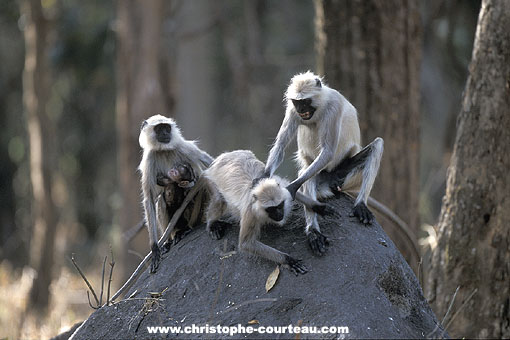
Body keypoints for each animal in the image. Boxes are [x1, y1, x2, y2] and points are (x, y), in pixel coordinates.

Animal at [138, 115, 212, 272]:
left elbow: (211, 163)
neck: (163, 150)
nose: (166, 133)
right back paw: (169, 240)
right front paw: (155, 248)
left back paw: (187, 229)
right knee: (160, 200)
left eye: (167, 127)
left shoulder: (185, 147)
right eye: (159, 128)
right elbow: (149, 199)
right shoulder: (149, 159)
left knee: (200, 190)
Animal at [264, 71, 380, 255]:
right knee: (307, 170)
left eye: (305, 102)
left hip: (344, 176)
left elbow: (328, 151)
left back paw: (360, 204)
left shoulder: (334, 107)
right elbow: (281, 145)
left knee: (377, 145)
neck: (319, 105)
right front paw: (262, 177)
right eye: (297, 102)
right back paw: (314, 232)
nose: (301, 110)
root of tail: (331, 181)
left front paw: (290, 188)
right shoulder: (292, 110)